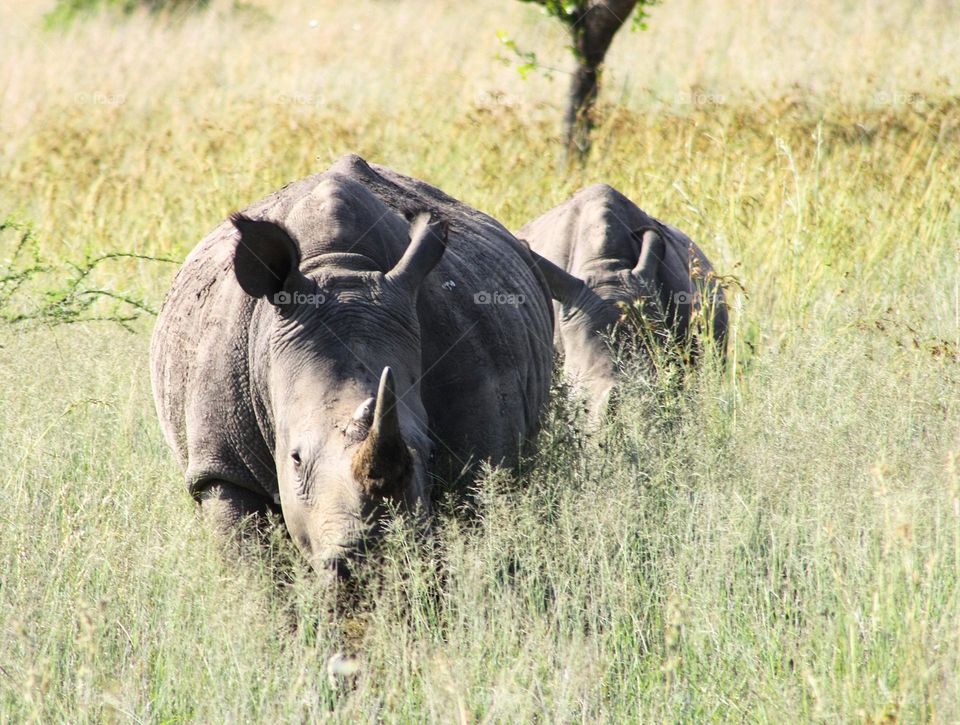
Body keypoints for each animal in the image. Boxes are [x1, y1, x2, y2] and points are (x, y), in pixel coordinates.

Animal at [150, 155, 555, 578]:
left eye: (428, 453)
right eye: (295, 459)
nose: (368, 563)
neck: (340, 269)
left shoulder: (481, 455)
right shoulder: (223, 466)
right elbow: (256, 568)